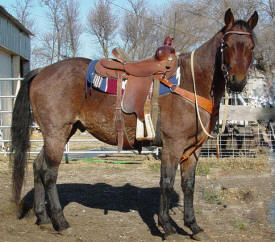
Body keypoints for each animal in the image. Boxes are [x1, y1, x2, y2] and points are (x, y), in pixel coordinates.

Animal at [10, 9, 258, 240]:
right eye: (226, 44)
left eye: (251, 46)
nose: (237, 82)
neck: (191, 82)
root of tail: (42, 71)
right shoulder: (172, 146)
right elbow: (167, 183)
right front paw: (167, 227)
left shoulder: (192, 150)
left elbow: (189, 185)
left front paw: (193, 226)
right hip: (56, 133)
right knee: (50, 173)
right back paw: (61, 222)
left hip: (61, 132)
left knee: (38, 166)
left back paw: (43, 218)